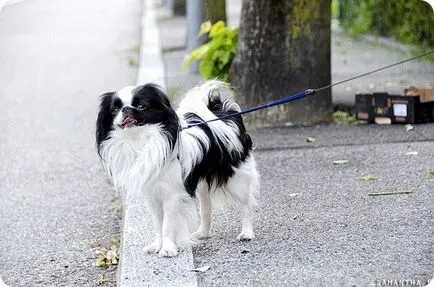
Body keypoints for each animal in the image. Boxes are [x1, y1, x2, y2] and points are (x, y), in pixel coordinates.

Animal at [96, 80, 260, 258]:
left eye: (141, 106)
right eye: (115, 109)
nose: (126, 109)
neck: (140, 142)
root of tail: (226, 116)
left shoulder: (172, 197)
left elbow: (167, 225)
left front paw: (168, 249)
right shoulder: (152, 197)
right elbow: (158, 224)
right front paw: (157, 245)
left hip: (237, 180)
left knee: (247, 204)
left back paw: (247, 233)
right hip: (203, 187)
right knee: (206, 209)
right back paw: (203, 233)